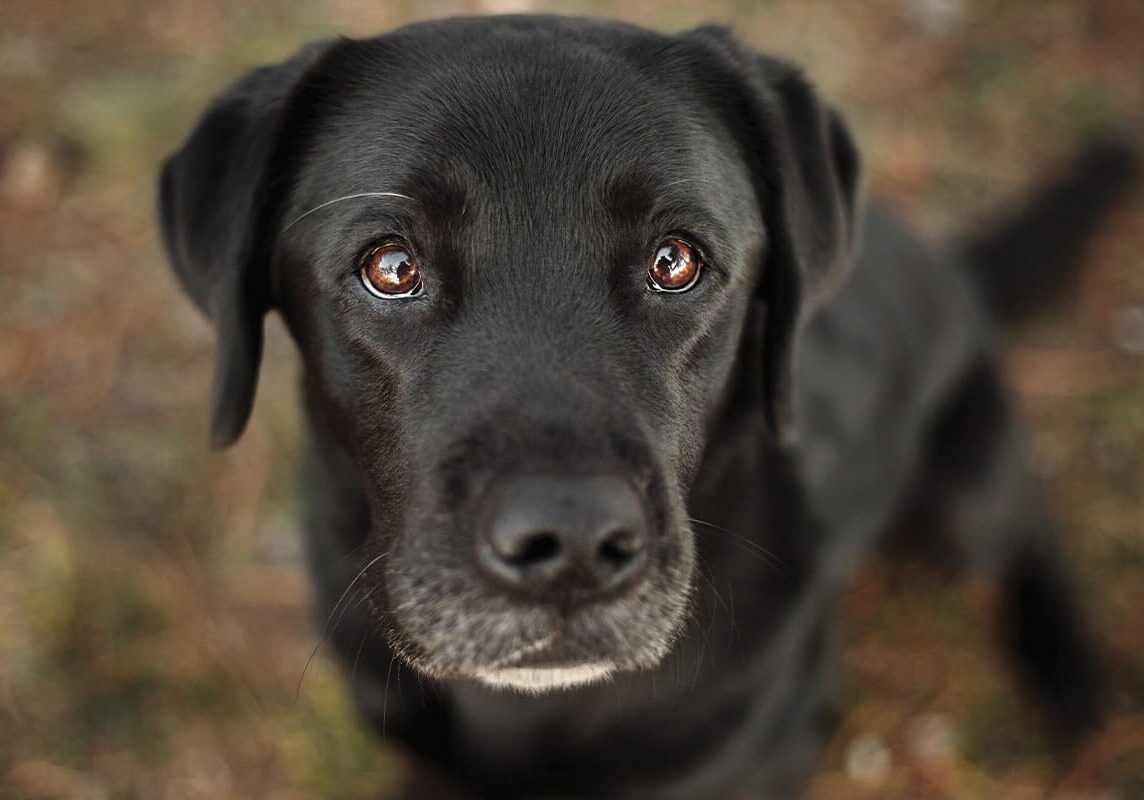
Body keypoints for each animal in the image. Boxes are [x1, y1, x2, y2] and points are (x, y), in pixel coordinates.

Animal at [159, 15, 1134, 796]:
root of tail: (957, 269)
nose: (571, 544)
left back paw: (1078, 677)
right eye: (391, 267)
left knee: (1029, 525)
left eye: (676, 261)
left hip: (961, 507)